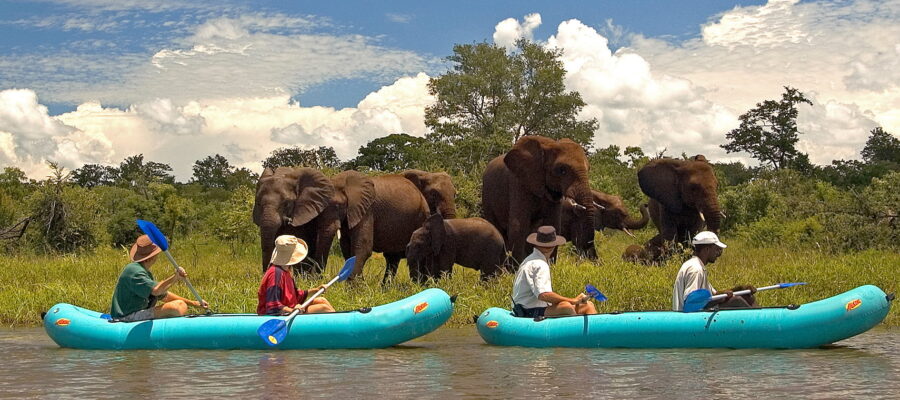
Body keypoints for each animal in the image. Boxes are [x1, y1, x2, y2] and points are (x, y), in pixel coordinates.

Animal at [482, 135, 596, 266]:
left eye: (589, 169)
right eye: (562, 170)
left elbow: (553, 225)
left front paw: (549, 265)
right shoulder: (518, 182)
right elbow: (518, 225)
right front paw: (517, 268)